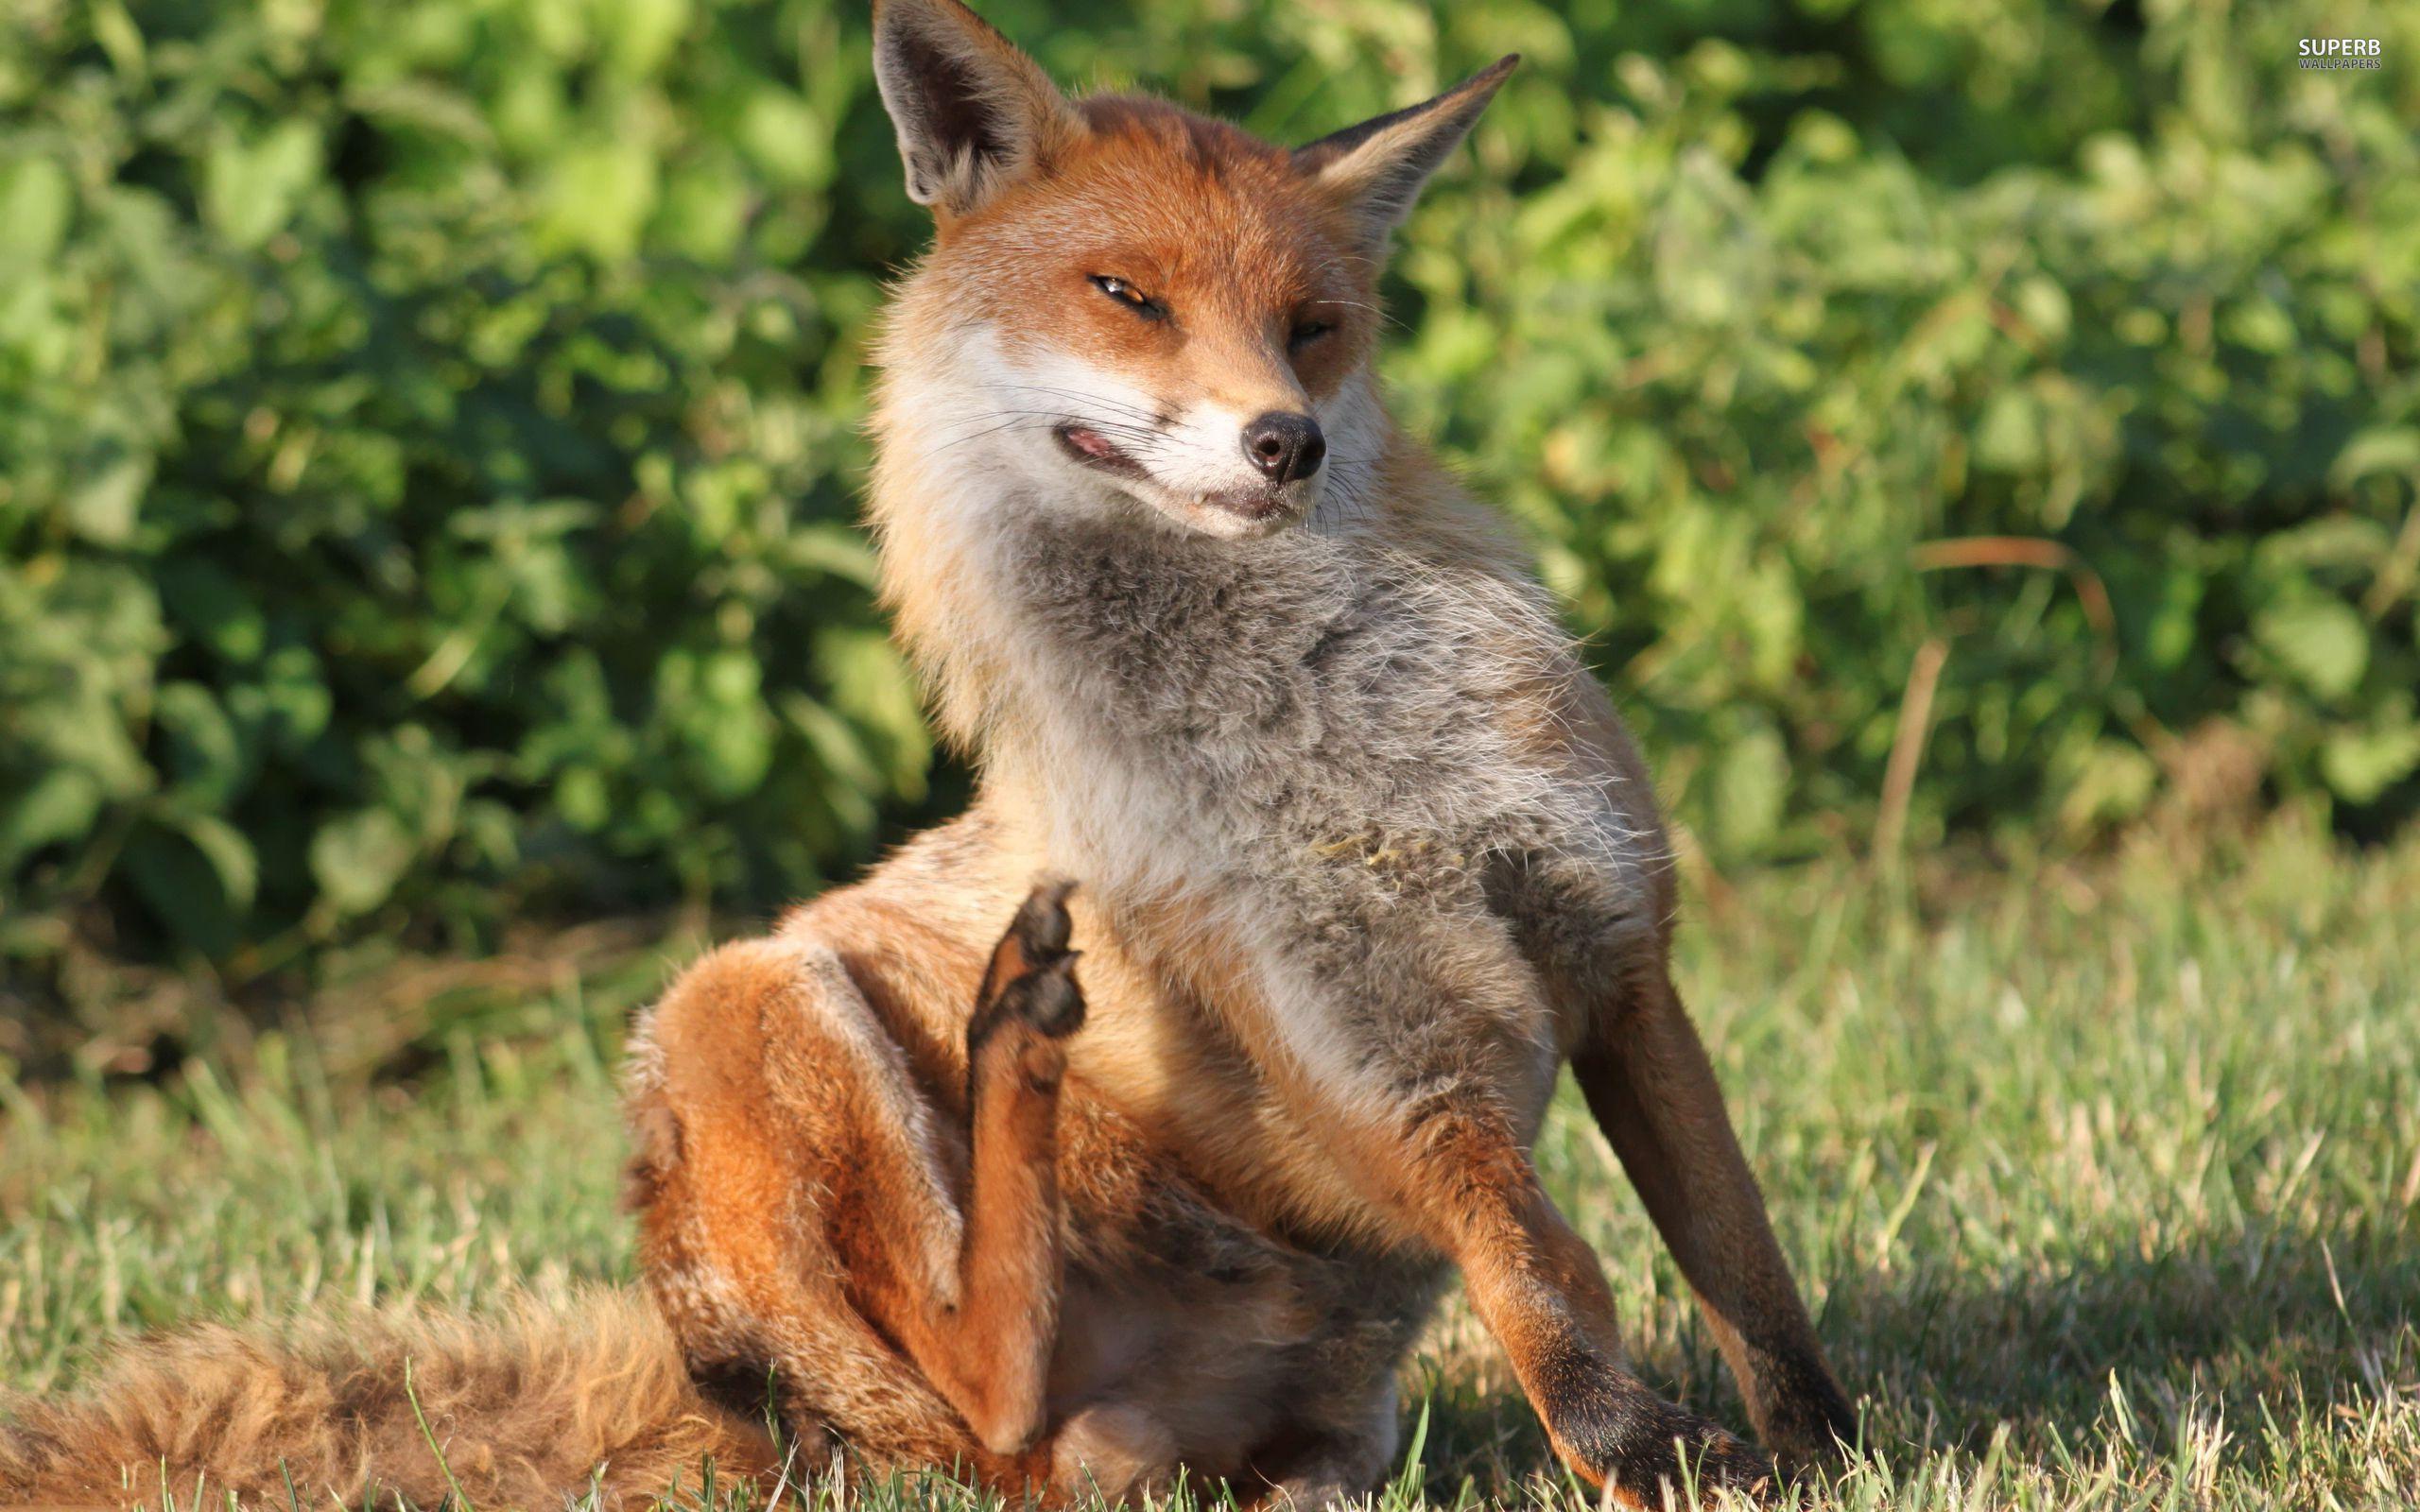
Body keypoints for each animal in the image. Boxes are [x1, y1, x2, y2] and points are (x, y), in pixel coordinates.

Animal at [1, 1, 1859, 1507]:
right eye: (1127, 297)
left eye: (1317, 325)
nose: (1286, 441)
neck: (1347, 748)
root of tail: (744, 1408)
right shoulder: (1363, 1046)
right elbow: (1546, 1286)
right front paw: (1642, 1458)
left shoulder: (1615, 956)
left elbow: (1740, 1269)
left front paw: (1825, 1456)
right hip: (741, 1007)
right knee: (998, 1396)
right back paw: (1009, 1037)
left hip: (1314, 1435)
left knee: (1072, 1443)